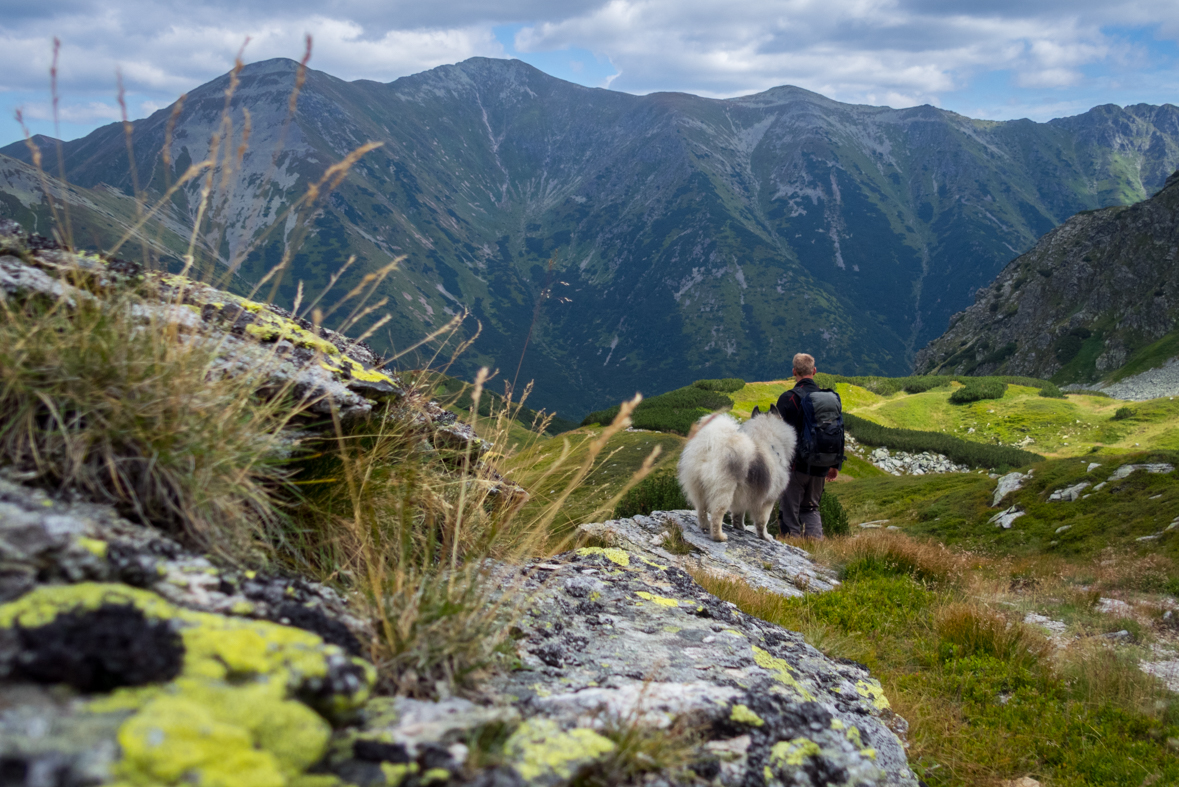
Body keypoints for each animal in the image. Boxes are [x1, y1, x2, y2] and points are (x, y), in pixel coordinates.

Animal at [679, 405, 797, 541]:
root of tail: (711, 447)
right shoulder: (767, 501)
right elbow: (763, 521)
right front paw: (765, 536)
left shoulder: (743, 496)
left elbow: (738, 514)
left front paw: (740, 527)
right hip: (724, 491)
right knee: (717, 515)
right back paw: (719, 536)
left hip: (698, 488)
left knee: (701, 510)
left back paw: (705, 526)